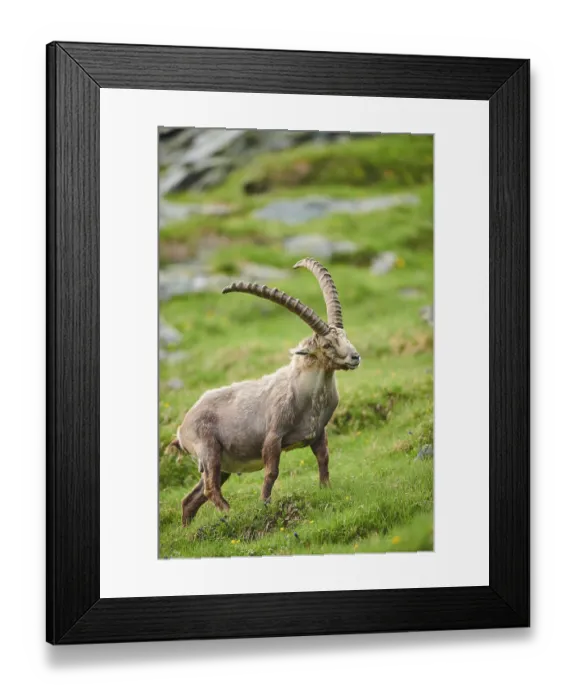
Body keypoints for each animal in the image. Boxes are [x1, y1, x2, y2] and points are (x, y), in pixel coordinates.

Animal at [169, 258, 361, 526]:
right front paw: (264, 505)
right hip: (208, 450)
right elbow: (272, 472)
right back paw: (231, 513)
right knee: (209, 488)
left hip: (222, 464)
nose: (355, 357)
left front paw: (326, 490)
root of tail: (181, 429)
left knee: (191, 499)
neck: (305, 395)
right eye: (326, 344)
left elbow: (323, 459)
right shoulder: (273, 436)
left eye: (344, 336)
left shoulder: (318, 433)